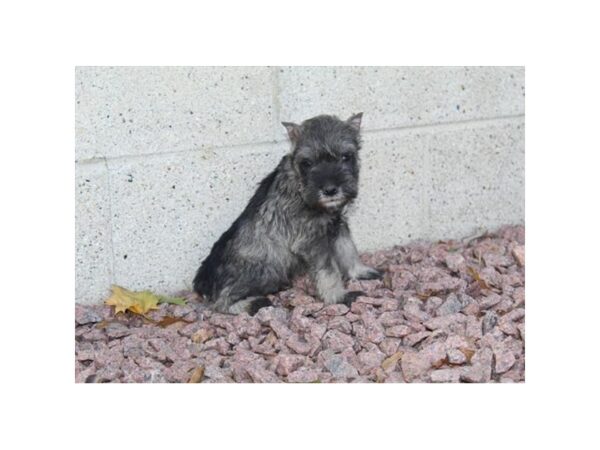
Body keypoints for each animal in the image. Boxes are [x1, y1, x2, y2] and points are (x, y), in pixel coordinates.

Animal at [193, 114, 380, 314]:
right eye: (307, 163)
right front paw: (338, 297)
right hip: (265, 269)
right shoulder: (312, 242)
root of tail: (202, 283)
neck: (300, 186)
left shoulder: (338, 226)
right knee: (222, 300)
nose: (330, 190)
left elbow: (348, 249)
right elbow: (328, 272)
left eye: (346, 156)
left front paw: (360, 271)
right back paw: (254, 303)